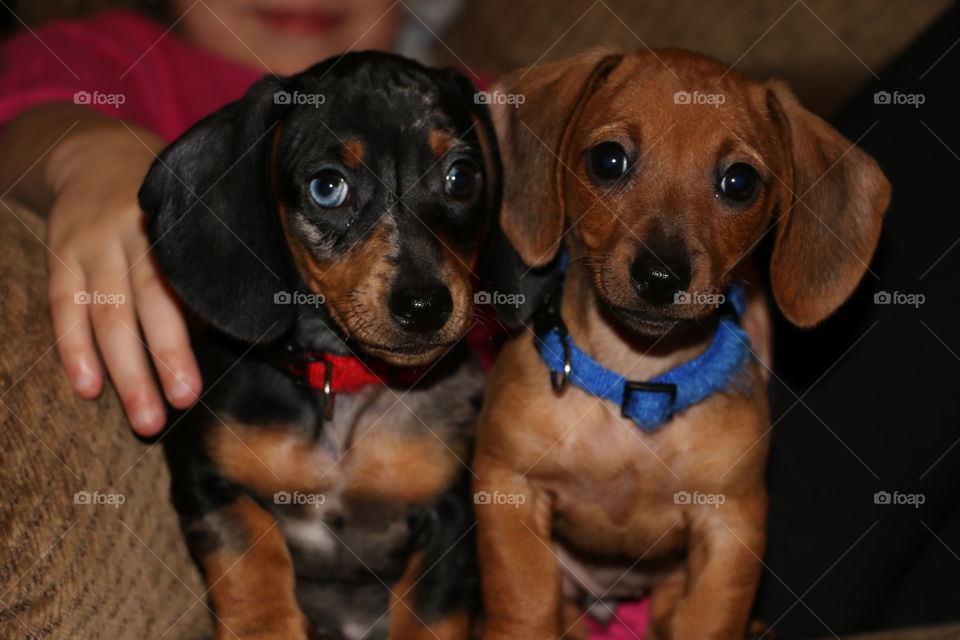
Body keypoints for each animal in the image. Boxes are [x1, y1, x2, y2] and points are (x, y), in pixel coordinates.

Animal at [139, 51, 498, 640]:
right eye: (327, 187)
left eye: (461, 178)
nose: (426, 307)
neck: (343, 381)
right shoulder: (205, 477)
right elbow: (251, 554)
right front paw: (266, 624)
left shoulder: (453, 517)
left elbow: (428, 612)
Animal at [476, 50, 888, 640]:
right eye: (608, 161)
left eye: (739, 181)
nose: (660, 275)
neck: (638, 379)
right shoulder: (507, 485)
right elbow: (525, 602)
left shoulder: (729, 526)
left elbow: (711, 619)